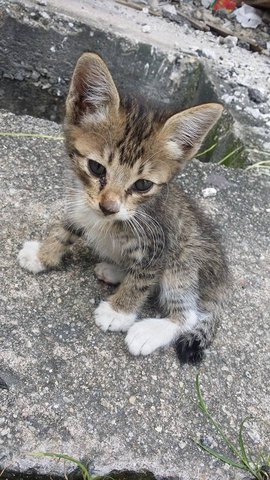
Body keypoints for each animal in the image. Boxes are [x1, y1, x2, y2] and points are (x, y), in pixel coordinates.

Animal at [17, 52, 228, 362]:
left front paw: (119, 312)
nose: (109, 207)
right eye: (96, 168)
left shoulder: (160, 241)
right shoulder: (80, 204)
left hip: (186, 261)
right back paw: (115, 269)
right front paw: (43, 255)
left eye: (142, 185)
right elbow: (65, 228)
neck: (107, 221)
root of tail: (225, 281)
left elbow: (142, 279)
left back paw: (150, 330)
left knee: (189, 314)